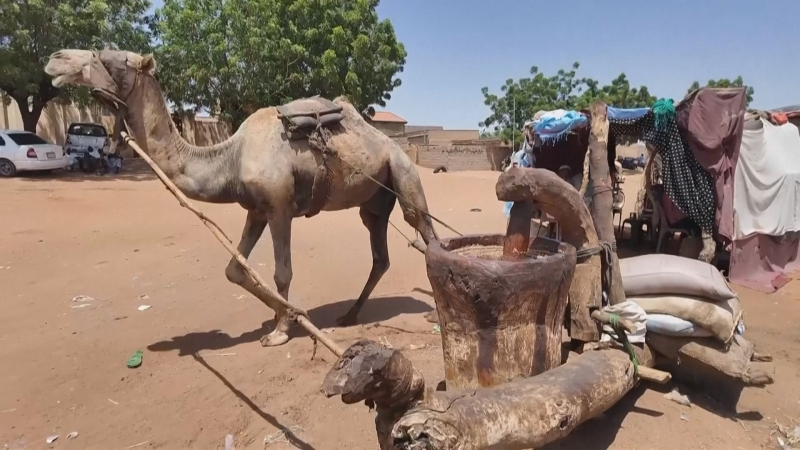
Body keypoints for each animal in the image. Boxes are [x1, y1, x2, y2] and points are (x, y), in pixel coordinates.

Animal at [45, 49, 439, 347]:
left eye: (108, 57)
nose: (55, 59)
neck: (230, 157)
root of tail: (390, 143)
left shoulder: (279, 208)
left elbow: (282, 272)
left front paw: (281, 331)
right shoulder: (256, 210)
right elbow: (234, 269)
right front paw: (285, 315)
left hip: (404, 174)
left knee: (426, 233)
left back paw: (437, 310)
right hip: (374, 202)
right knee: (380, 254)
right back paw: (350, 314)